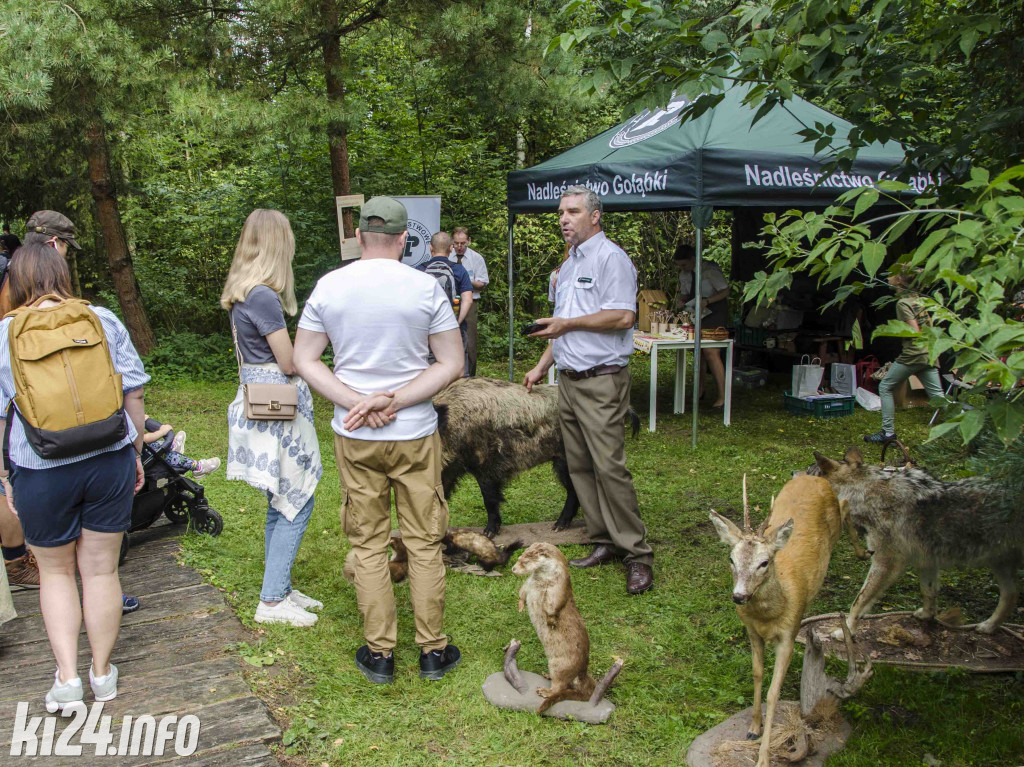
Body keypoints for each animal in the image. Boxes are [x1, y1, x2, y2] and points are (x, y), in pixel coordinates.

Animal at [434, 378, 638, 536]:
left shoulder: (487, 463)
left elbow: (489, 498)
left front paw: (489, 533)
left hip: (565, 460)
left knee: (574, 490)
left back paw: (557, 527)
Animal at [712, 473, 839, 765]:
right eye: (731, 558)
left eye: (764, 562)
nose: (739, 596)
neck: (770, 616)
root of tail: (814, 476)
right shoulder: (751, 631)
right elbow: (757, 673)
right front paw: (753, 728)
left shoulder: (789, 635)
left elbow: (774, 692)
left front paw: (763, 757)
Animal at [811, 442, 1019, 634]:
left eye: (809, 473)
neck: (864, 492)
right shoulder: (926, 560)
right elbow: (928, 591)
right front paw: (927, 615)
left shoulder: (886, 562)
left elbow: (859, 601)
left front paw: (846, 631)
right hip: (1000, 564)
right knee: (1011, 594)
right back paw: (989, 626)